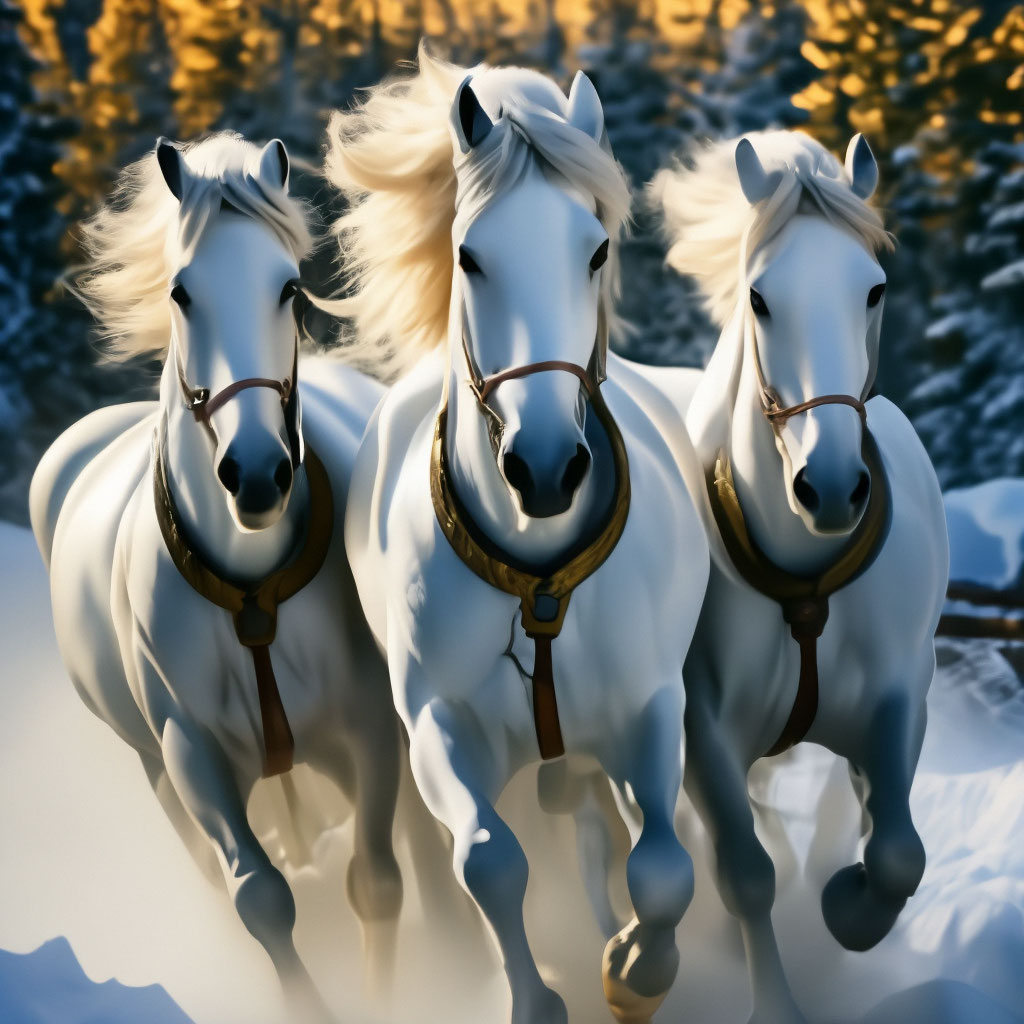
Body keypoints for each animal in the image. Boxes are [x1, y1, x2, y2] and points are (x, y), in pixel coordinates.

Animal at [29, 132, 407, 1022]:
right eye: (181, 291)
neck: (250, 592)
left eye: (289, 287)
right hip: (153, 767)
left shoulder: (371, 731)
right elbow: (260, 899)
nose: (258, 473)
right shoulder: (191, 755)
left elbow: (375, 881)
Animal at [324, 47, 710, 1024]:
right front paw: (538, 997)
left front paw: (633, 970)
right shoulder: (438, 731)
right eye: (470, 255)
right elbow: (490, 862)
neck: (538, 583)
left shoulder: (653, 710)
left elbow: (663, 868)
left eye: (596, 249)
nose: (544, 468)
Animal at [629, 131, 950, 1023]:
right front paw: (775, 1002)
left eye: (873, 289)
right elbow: (745, 873)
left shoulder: (900, 698)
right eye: (761, 299)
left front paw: (845, 908)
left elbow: (898, 850)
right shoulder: (703, 729)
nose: (831, 487)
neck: (805, 577)